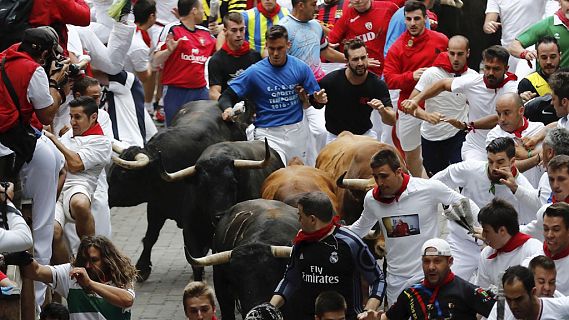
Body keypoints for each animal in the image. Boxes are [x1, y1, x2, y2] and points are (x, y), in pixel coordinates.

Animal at [107, 101, 247, 282]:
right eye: (111, 170)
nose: (106, 197)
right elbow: (151, 236)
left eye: (124, 174)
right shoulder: (156, 206)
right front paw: (142, 268)